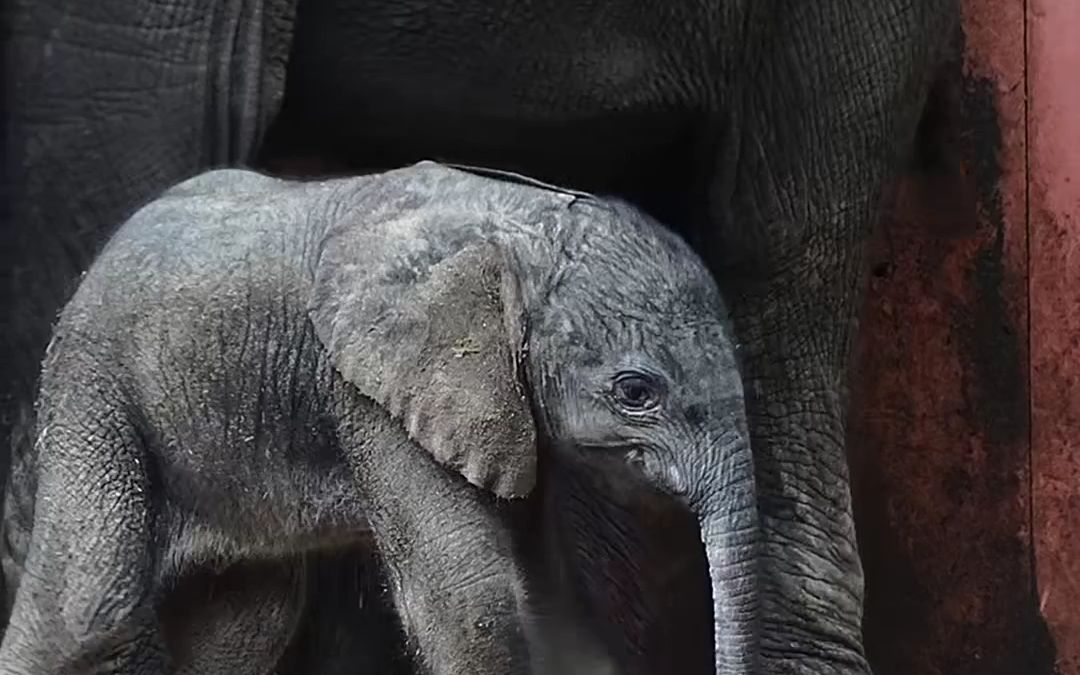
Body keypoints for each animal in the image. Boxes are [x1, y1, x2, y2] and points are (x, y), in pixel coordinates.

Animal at [0, 163, 760, 673]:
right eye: (636, 391)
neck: (524, 219)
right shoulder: (373, 391)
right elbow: (470, 600)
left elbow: (553, 602)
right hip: (95, 385)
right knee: (82, 609)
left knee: (246, 626)